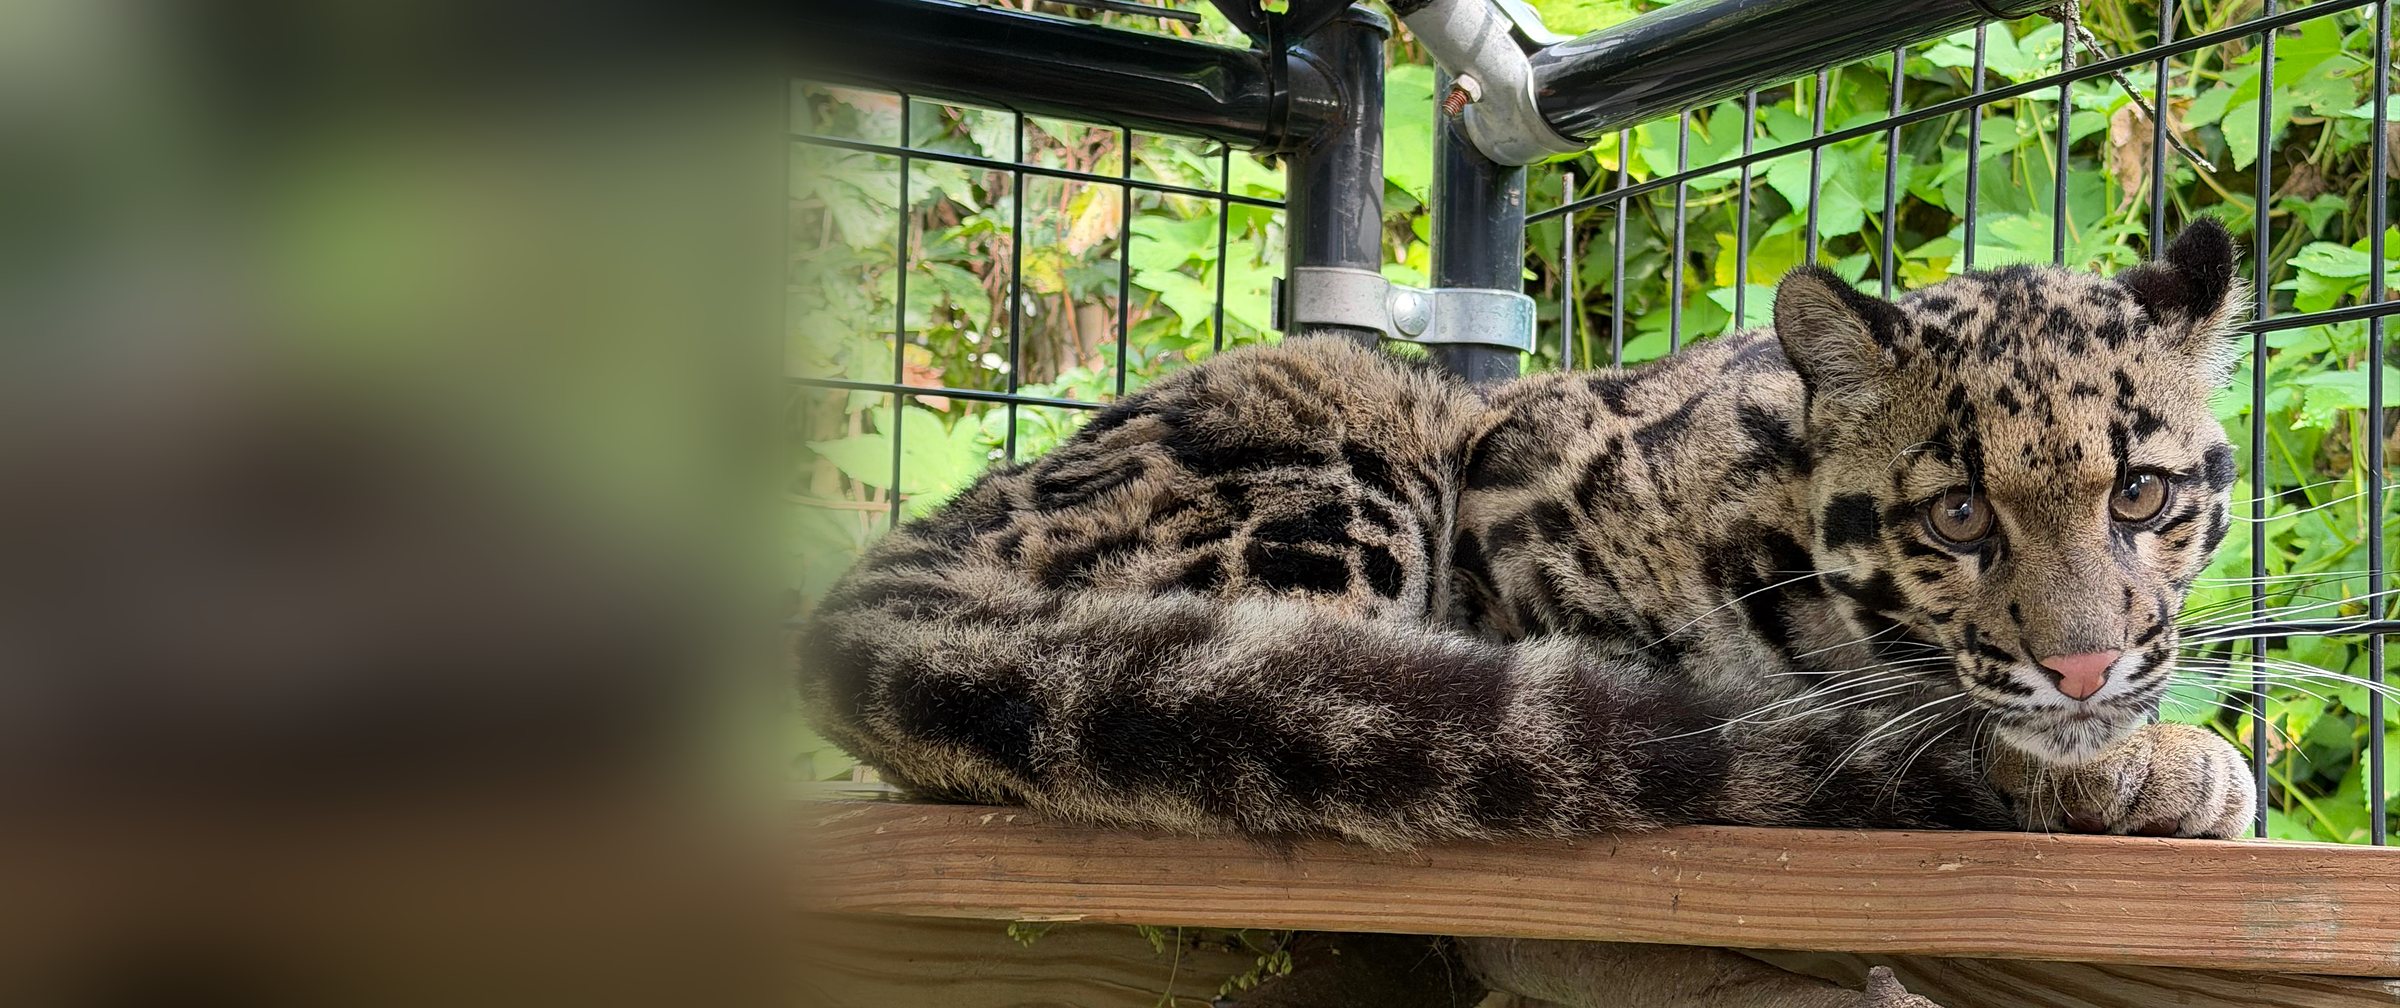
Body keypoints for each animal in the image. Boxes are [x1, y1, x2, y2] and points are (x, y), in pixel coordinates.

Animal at [799, 220, 2257, 1003]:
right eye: (1957, 517)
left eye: (2142, 494)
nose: (2084, 666)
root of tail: (904, 553)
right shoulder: (1521, 485)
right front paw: (2147, 764)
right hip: (1346, 432)